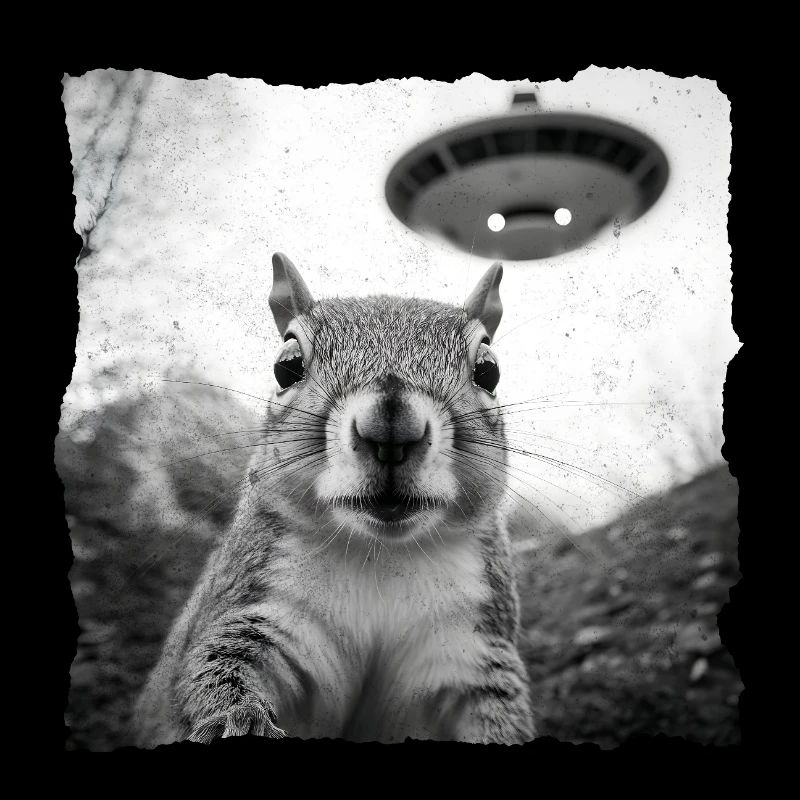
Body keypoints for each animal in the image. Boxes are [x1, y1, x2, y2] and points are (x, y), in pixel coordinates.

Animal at [132, 252, 536, 746]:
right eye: (286, 366)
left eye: (488, 370)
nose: (391, 426)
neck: (382, 555)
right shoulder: (260, 609)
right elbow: (217, 668)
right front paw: (239, 721)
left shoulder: (470, 650)